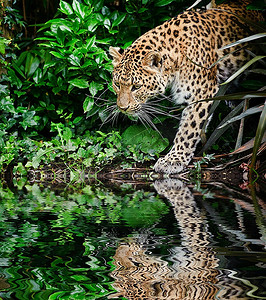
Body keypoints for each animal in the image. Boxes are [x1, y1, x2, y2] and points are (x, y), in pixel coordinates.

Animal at [108, 0, 264, 173]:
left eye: (136, 87)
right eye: (117, 84)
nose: (122, 108)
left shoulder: (202, 93)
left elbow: (189, 129)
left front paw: (173, 160)